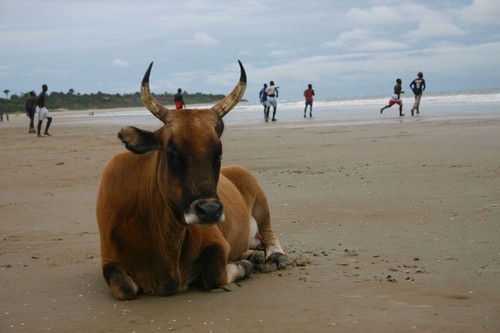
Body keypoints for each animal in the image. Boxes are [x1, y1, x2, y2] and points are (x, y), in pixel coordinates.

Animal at [96, 61, 290, 300]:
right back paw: (253, 255)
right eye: (172, 153)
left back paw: (273, 256)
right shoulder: (109, 261)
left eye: (218, 153)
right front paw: (247, 261)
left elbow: (215, 274)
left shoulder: (217, 242)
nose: (209, 211)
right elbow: (125, 288)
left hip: (258, 197)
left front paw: (244, 265)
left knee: (270, 234)